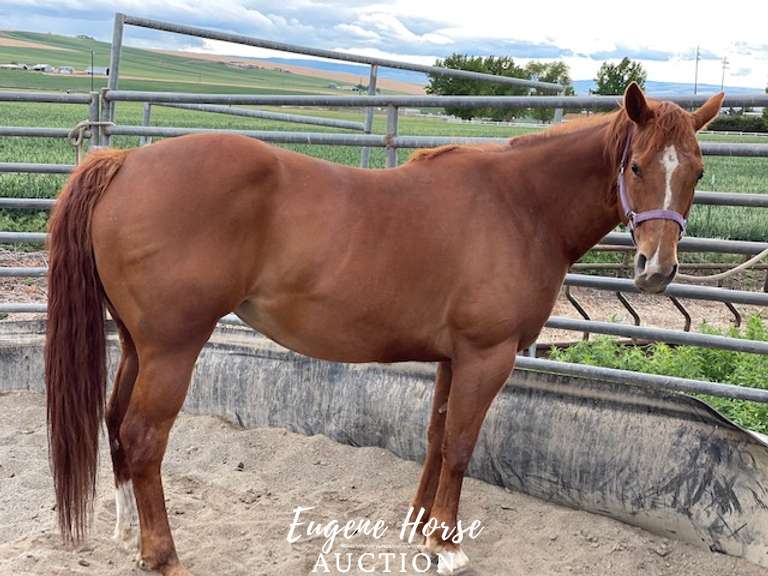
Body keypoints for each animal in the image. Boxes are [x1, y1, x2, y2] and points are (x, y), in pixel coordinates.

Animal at [44, 83, 723, 575]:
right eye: (635, 167)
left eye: (696, 171)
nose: (657, 269)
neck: (520, 206)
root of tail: (124, 160)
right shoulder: (488, 356)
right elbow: (462, 446)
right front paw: (447, 546)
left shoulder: (454, 357)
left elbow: (436, 438)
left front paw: (420, 528)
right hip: (174, 348)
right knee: (143, 436)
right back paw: (163, 555)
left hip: (138, 345)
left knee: (115, 423)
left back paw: (128, 532)